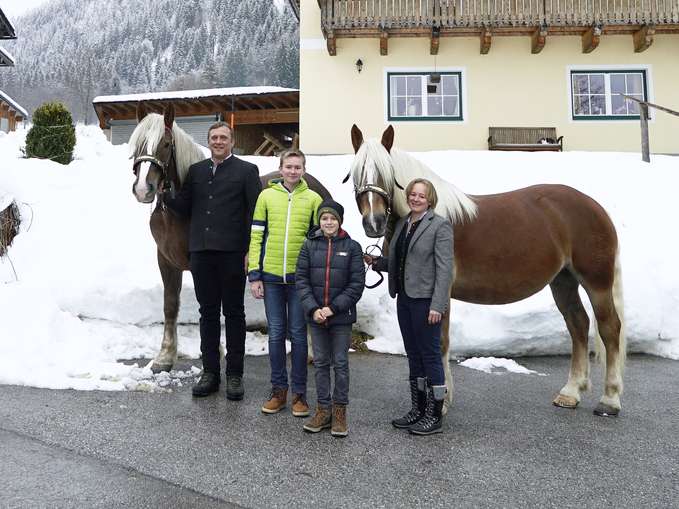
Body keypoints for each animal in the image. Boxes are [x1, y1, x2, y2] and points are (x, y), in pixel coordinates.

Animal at [129, 103, 330, 374]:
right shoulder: (166, 261)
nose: (143, 189)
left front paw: (214, 352)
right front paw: (164, 357)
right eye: (138, 144)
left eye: (166, 144)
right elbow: (170, 305)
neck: (180, 211)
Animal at [350, 124, 628, 416]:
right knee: (578, 324)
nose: (374, 223)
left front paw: (442, 402)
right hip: (563, 281)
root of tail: (595, 207)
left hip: (597, 282)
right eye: (356, 173)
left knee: (609, 328)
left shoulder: (440, 295)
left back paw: (609, 399)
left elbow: (440, 343)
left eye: (387, 172)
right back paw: (571, 392)